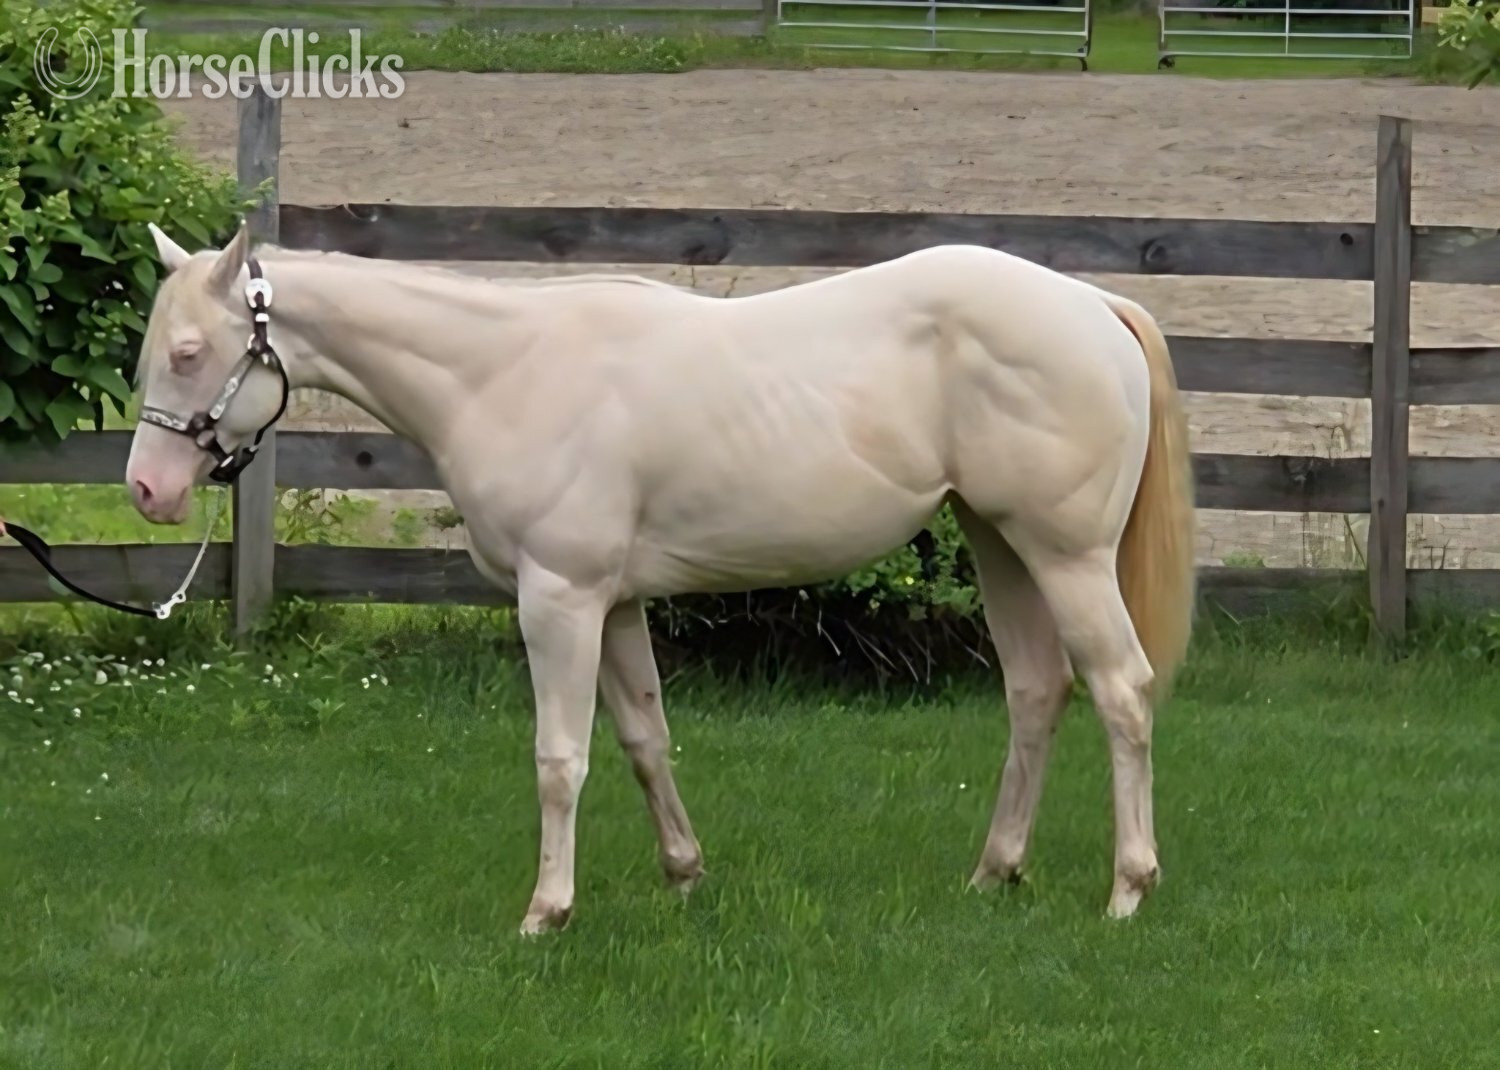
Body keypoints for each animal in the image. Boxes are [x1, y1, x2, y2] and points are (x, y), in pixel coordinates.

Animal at [126, 220, 1196, 934]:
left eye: (189, 352)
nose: (147, 489)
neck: (502, 373)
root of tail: (1094, 305)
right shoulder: (616, 602)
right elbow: (645, 738)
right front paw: (684, 875)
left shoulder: (558, 600)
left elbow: (561, 758)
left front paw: (547, 911)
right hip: (1001, 543)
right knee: (1036, 691)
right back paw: (994, 872)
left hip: (1065, 556)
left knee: (1121, 691)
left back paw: (1130, 888)